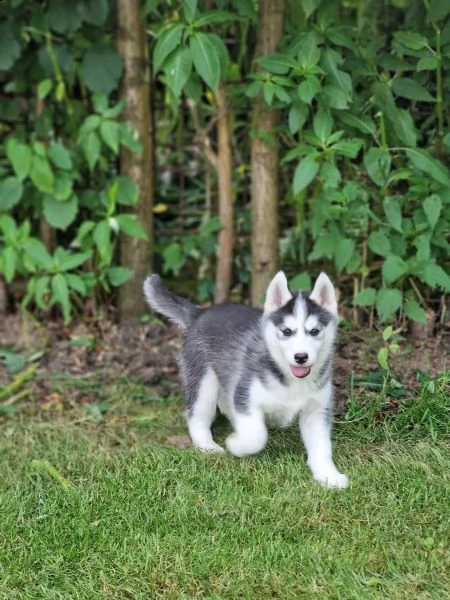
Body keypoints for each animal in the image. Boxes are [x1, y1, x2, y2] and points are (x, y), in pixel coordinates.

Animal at [143, 272, 348, 488]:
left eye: (315, 331)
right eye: (287, 331)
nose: (301, 357)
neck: (290, 379)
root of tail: (201, 313)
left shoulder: (316, 410)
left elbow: (321, 446)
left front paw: (328, 475)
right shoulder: (245, 395)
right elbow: (257, 436)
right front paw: (236, 444)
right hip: (203, 381)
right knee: (197, 416)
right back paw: (207, 446)